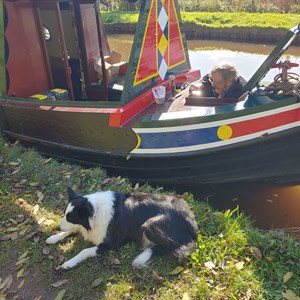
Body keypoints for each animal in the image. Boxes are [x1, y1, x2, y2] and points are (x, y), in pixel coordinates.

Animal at [45, 188, 198, 270]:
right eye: (65, 214)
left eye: (71, 218)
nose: (56, 227)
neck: (95, 210)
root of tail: (192, 222)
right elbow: (72, 230)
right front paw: (54, 238)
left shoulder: (109, 243)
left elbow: (84, 251)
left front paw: (69, 262)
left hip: (150, 224)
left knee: (168, 248)